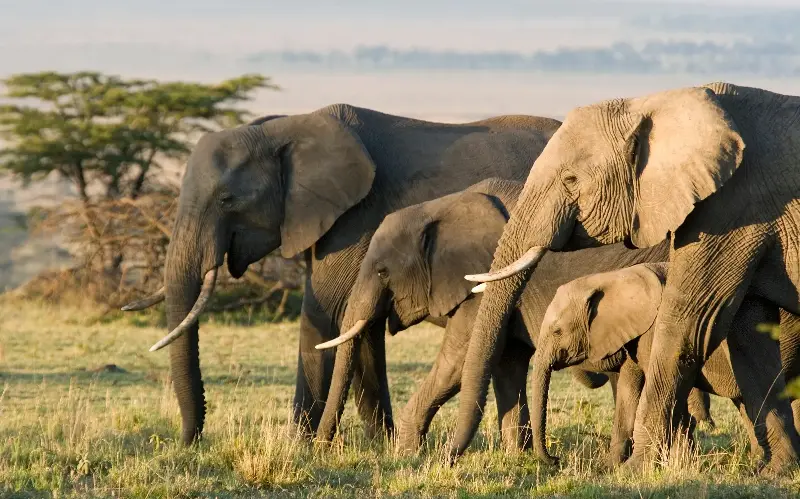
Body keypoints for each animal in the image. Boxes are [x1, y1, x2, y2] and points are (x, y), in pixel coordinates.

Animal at [120, 105, 562, 444]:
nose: (188, 442)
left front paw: (299, 448)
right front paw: (379, 446)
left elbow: (327, 314)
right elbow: (359, 328)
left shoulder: (355, 218)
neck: (284, 128)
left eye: (227, 200)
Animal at [313, 178, 712, 452]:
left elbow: (458, 363)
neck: (442, 207)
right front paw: (517, 456)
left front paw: (407, 454)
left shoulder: (482, 286)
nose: (322, 446)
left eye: (383, 273)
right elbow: (507, 364)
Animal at [531, 263, 800, 472]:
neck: (612, 277)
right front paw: (609, 468)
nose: (555, 460)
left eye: (557, 331)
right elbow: (629, 392)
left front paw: (679, 464)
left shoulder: (655, 330)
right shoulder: (635, 334)